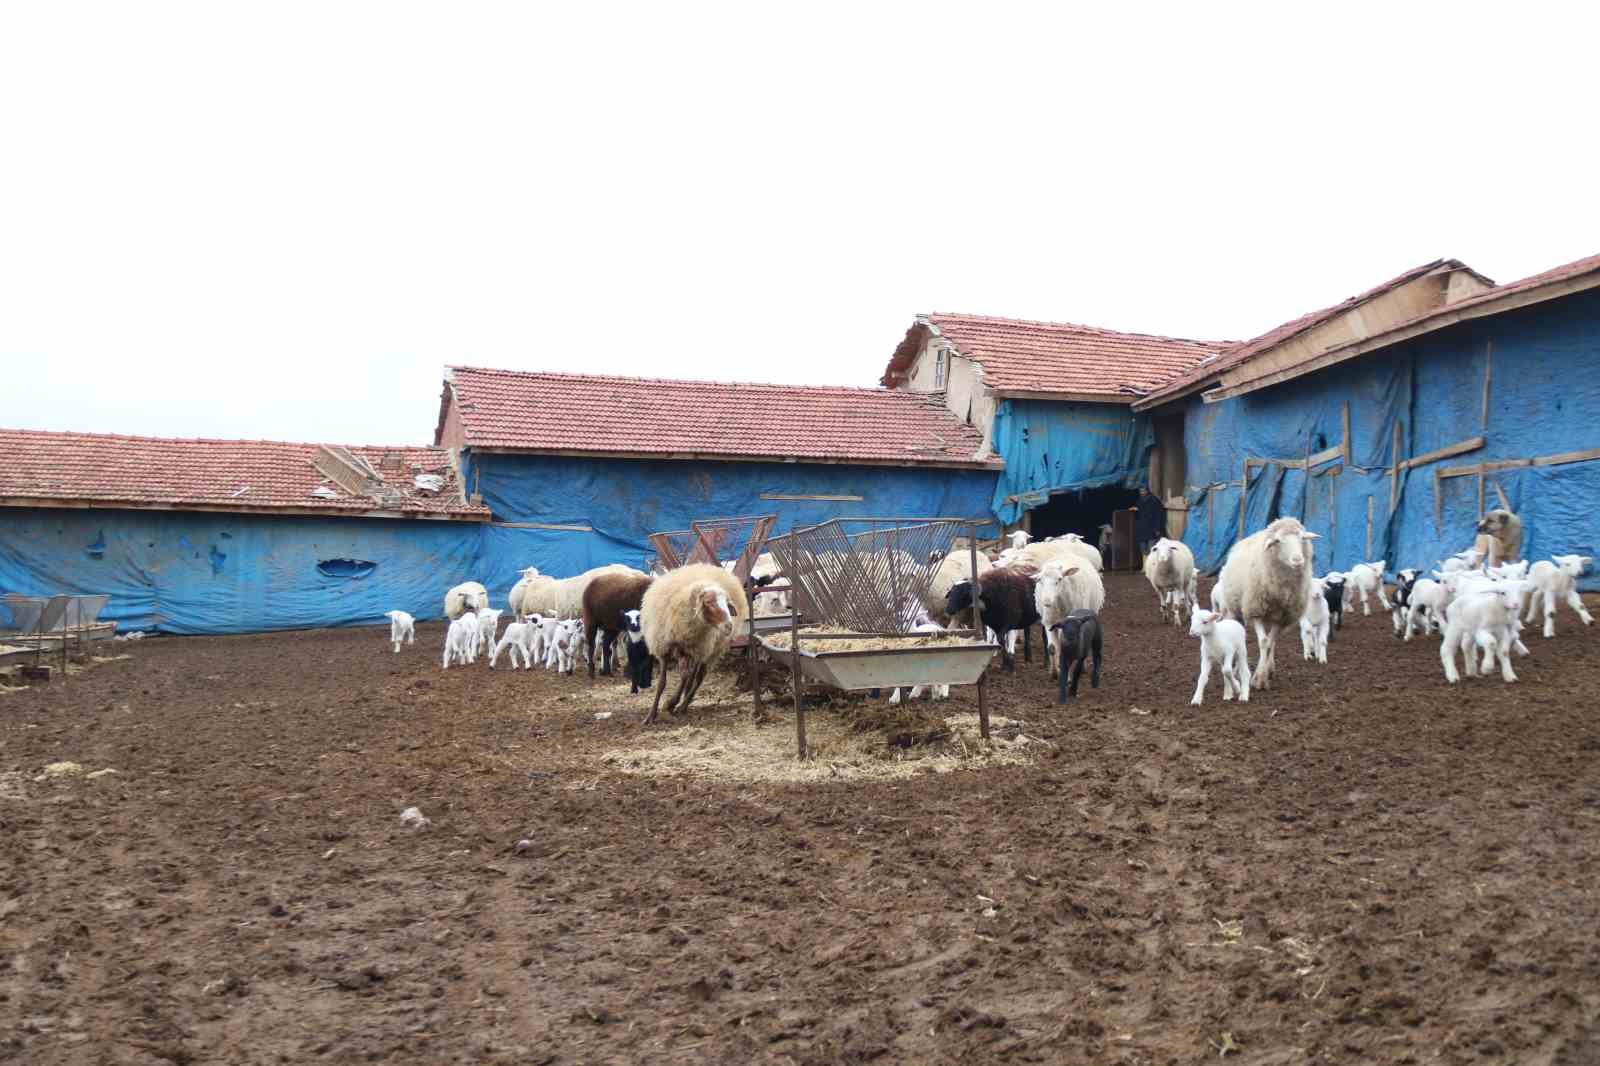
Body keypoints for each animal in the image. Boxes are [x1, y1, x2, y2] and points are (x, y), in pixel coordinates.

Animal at [636, 563, 748, 723]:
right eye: (708, 602)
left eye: (727, 604)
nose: (729, 626)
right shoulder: (664, 649)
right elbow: (662, 683)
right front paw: (651, 715)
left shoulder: (694, 651)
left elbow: (686, 677)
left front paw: (670, 703)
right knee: (692, 678)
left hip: (711, 651)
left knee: (698, 677)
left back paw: (683, 706)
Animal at [1216, 515, 1318, 688]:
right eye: (1278, 541)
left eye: (1302, 538)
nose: (1298, 560)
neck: (1281, 590)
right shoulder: (1255, 610)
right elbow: (1264, 642)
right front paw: (1258, 681)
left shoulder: (1282, 617)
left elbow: (1270, 644)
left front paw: (1261, 676)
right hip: (1234, 608)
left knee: (1273, 641)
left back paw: (1270, 668)